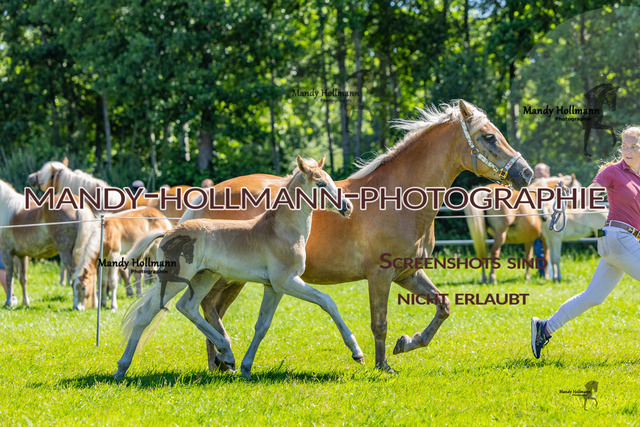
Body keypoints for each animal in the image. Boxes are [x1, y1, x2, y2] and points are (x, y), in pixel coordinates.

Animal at [0, 179, 98, 309]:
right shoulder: (22, 255)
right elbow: (22, 278)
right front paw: (25, 302)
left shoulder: (6, 252)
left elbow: (9, 278)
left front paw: (9, 303)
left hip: (66, 252)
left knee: (76, 275)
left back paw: (77, 305)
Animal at [113, 156, 360, 379]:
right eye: (321, 184)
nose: (347, 207)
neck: (280, 230)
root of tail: (168, 232)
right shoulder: (287, 281)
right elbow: (327, 301)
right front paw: (357, 352)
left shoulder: (274, 287)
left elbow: (262, 325)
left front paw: (246, 368)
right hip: (175, 279)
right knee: (145, 314)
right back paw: (121, 369)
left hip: (204, 278)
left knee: (188, 307)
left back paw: (227, 353)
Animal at [175, 100, 534, 372]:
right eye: (488, 137)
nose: (526, 172)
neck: (396, 198)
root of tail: (209, 195)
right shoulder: (380, 275)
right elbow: (380, 322)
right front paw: (382, 365)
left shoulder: (408, 273)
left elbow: (443, 306)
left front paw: (408, 343)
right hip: (228, 276)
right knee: (207, 308)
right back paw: (224, 357)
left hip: (231, 278)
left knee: (210, 308)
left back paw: (221, 362)